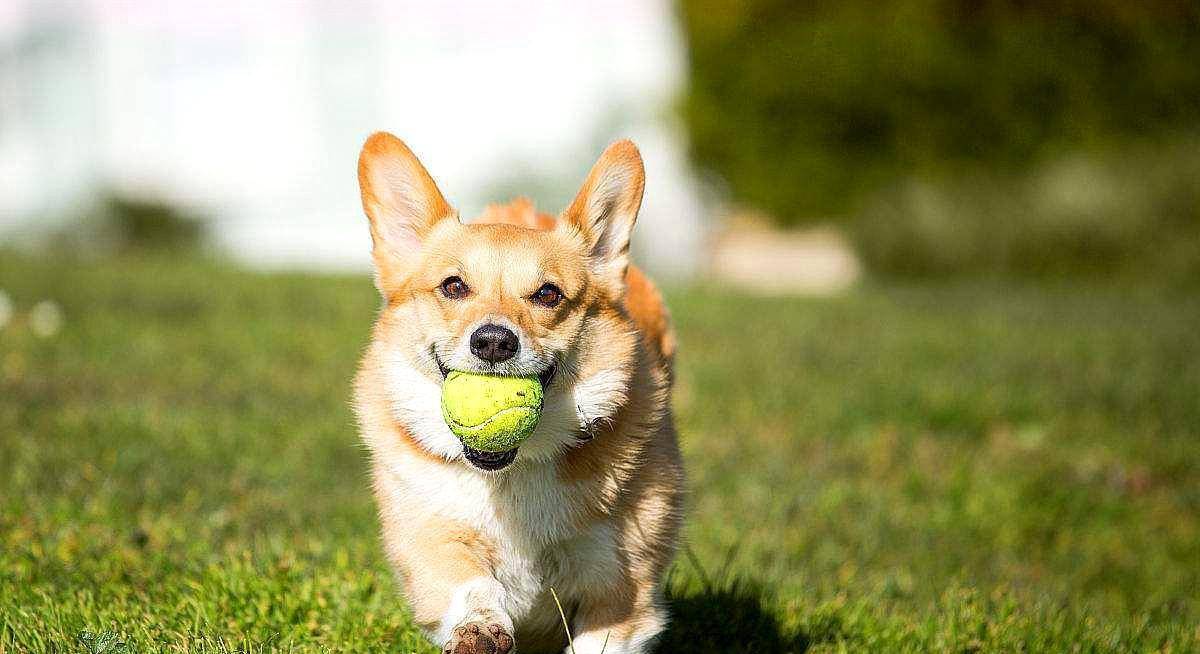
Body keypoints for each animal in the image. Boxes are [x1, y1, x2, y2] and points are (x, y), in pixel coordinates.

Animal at [352, 133, 686, 652]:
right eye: (454, 286)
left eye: (548, 294)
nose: (493, 341)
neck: (512, 472)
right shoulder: (434, 539)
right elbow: (467, 584)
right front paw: (479, 628)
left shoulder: (621, 593)